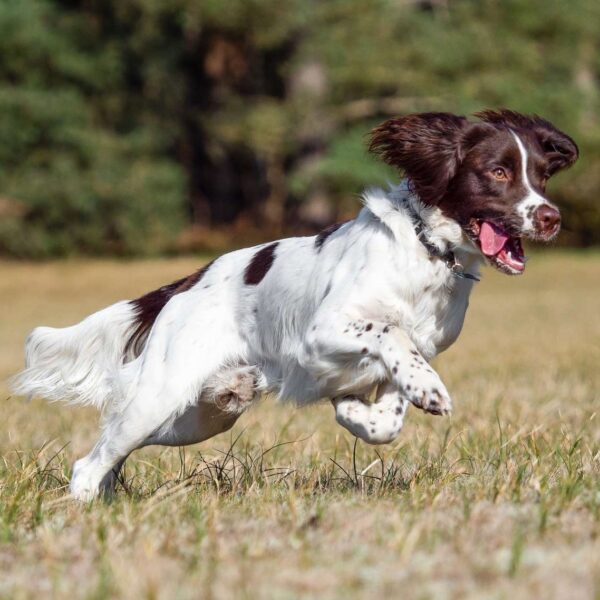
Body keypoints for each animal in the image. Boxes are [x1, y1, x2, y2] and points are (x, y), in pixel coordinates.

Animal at [12, 109, 576, 502]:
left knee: (111, 449)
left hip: (197, 417)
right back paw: (83, 507)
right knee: (91, 460)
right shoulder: (322, 331)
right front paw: (428, 391)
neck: (426, 253)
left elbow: (390, 409)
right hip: (159, 396)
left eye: (543, 176)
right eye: (498, 172)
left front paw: (359, 412)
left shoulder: (420, 348)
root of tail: (188, 284)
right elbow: (391, 333)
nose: (551, 218)